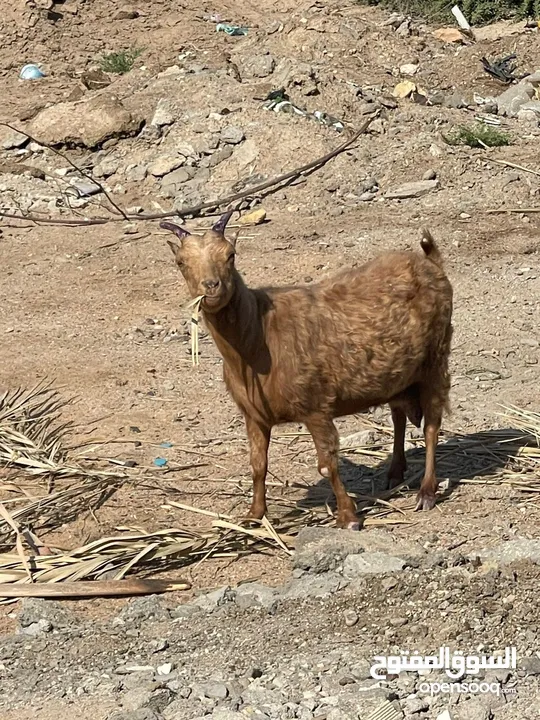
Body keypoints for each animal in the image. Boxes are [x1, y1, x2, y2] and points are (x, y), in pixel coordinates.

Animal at [162, 214, 454, 528]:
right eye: (180, 261)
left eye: (231, 255)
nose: (211, 286)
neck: (259, 338)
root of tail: (431, 262)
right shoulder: (254, 415)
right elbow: (257, 465)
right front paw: (254, 515)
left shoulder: (316, 407)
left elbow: (327, 464)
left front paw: (348, 517)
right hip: (399, 376)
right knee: (398, 415)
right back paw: (395, 473)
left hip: (436, 359)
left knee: (432, 426)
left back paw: (426, 492)